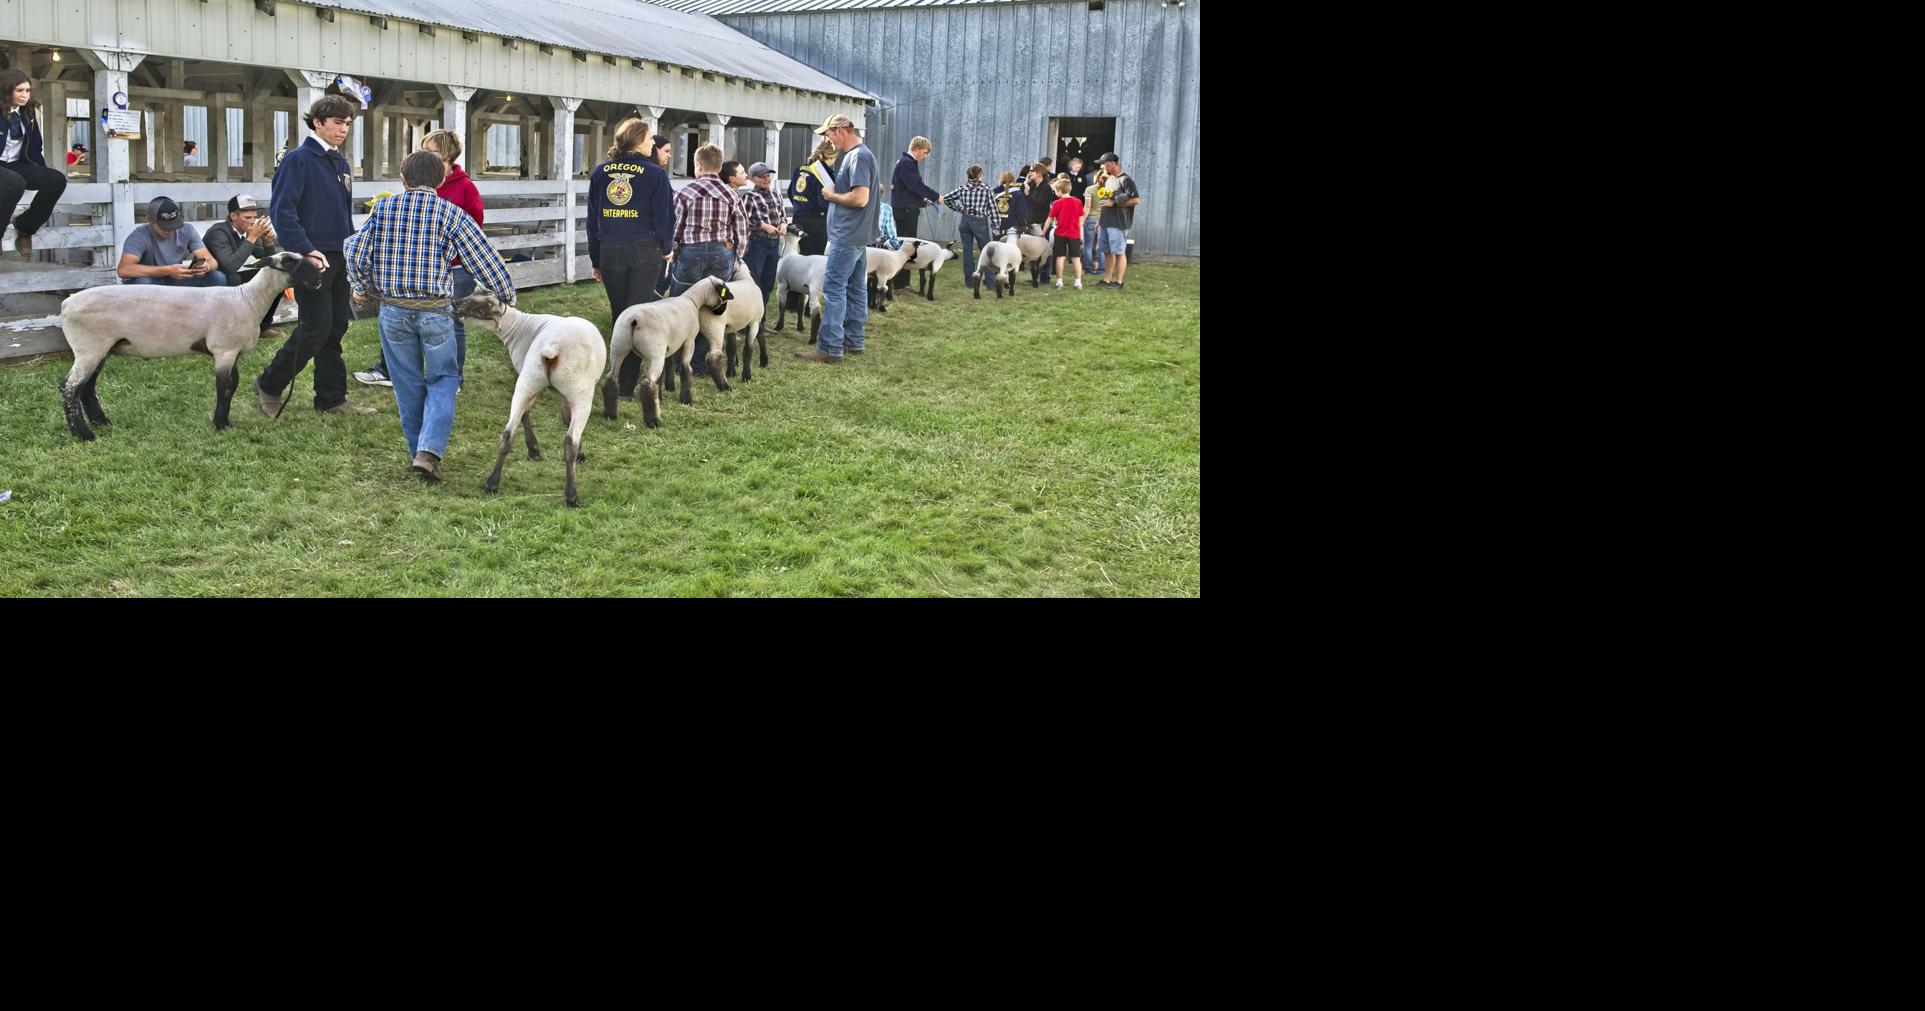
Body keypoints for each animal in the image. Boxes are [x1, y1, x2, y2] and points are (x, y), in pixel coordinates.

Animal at [448, 296, 604, 508]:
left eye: (481, 304)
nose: (454, 305)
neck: (520, 326)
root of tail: (553, 346)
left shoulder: (527, 375)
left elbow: (554, 416)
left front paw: (534, 450)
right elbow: (560, 419)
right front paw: (543, 451)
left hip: (528, 380)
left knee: (508, 433)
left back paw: (492, 483)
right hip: (581, 392)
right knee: (570, 440)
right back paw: (571, 495)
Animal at [596, 273, 731, 423]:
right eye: (725, 294)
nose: (722, 312)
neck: (693, 300)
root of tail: (634, 319)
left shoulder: (668, 349)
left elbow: (662, 375)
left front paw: (661, 396)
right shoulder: (689, 341)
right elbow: (686, 369)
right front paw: (686, 400)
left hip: (618, 347)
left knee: (611, 378)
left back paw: (611, 415)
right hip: (655, 353)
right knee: (648, 384)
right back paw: (653, 421)